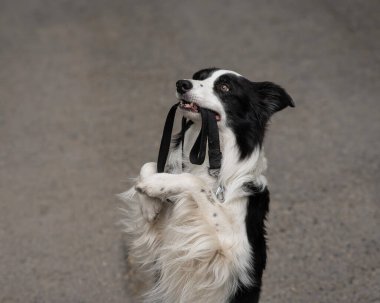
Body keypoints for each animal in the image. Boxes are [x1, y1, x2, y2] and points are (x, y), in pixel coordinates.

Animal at [119, 69, 294, 303]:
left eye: (225, 87)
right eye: (199, 77)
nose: (182, 84)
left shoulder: (234, 253)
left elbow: (196, 183)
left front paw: (155, 184)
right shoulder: (163, 236)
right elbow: (149, 165)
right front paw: (150, 205)